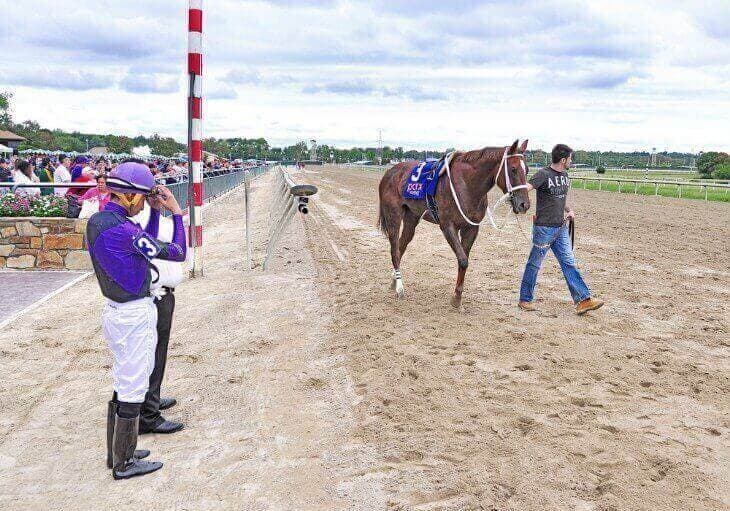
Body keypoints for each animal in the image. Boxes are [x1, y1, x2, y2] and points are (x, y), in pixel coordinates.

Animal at [377, 139, 531, 308]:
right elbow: (463, 260)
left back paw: (394, 281)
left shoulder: (471, 228)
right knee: (394, 250)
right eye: (513, 169)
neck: (467, 184)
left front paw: (457, 296)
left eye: (527, 170)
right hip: (393, 216)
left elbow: (464, 259)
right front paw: (457, 297)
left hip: (411, 218)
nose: (524, 204)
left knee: (401, 247)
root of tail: (390, 173)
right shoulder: (448, 226)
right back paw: (399, 287)